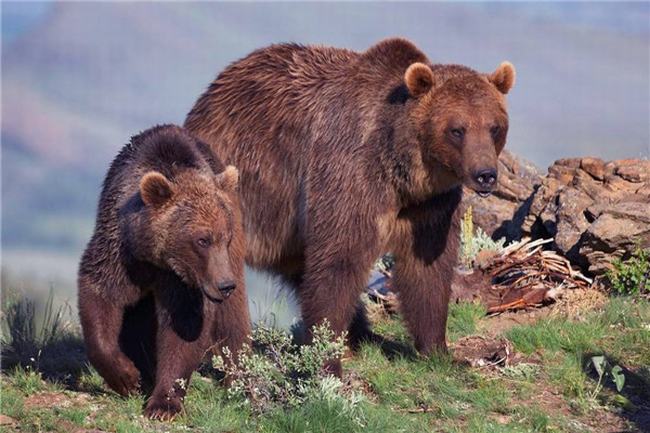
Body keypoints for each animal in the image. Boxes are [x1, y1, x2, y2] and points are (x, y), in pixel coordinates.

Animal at [76, 124, 248, 418]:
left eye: (224, 237)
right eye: (202, 240)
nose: (225, 285)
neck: (155, 257)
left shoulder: (183, 281)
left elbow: (184, 326)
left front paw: (163, 404)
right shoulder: (121, 252)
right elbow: (101, 294)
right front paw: (127, 376)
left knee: (232, 319)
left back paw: (238, 379)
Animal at [185, 38, 512, 372]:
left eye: (494, 127)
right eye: (457, 130)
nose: (485, 174)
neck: (401, 172)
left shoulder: (429, 207)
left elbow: (428, 269)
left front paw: (439, 351)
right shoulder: (349, 175)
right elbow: (338, 261)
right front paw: (327, 360)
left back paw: (363, 334)